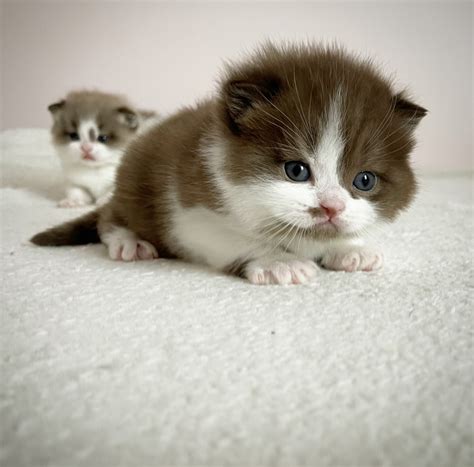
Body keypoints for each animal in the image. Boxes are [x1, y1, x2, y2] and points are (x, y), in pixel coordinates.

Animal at [31, 44, 428, 286]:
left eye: (364, 180)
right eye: (296, 170)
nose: (331, 207)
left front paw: (349, 248)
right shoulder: (188, 213)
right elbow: (238, 238)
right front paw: (278, 261)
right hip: (133, 182)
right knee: (110, 216)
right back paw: (129, 241)